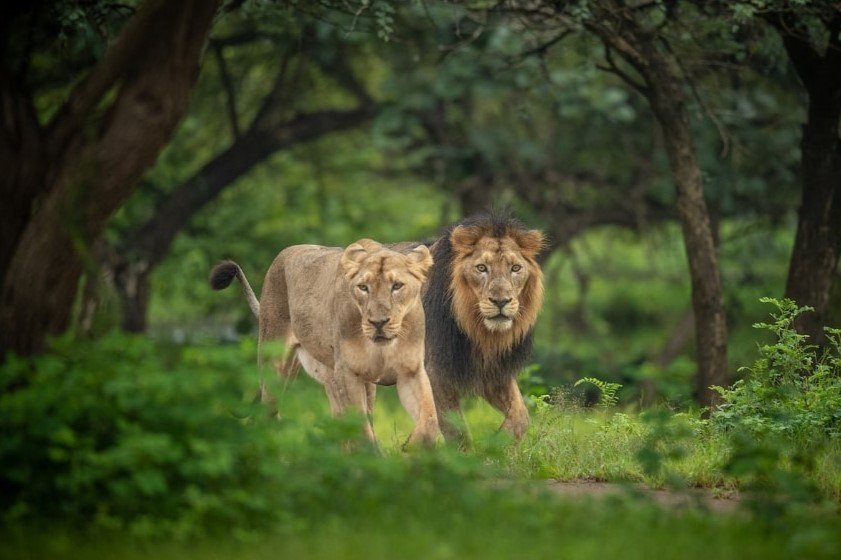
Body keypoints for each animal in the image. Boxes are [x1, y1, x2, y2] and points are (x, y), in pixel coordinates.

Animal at [208, 238, 440, 448]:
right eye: (363, 287)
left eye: (397, 286)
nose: (378, 322)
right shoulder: (347, 375)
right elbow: (362, 433)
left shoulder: (411, 372)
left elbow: (429, 419)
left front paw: (411, 448)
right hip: (276, 368)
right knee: (265, 417)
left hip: (336, 380)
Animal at [418, 212, 544, 444]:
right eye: (481, 268)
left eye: (515, 268)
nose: (501, 301)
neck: (481, 333)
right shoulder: (434, 371)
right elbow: (456, 431)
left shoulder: (495, 371)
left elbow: (521, 416)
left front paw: (499, 443)